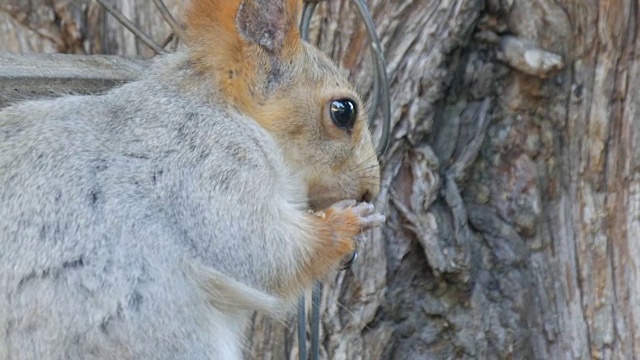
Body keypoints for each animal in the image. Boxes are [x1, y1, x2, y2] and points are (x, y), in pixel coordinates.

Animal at [0, 0, 384, 358]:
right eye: (343, 111)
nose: (371, 190)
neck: (223, 109)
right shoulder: (205, 162)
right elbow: (259, 247)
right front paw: (348, 223)